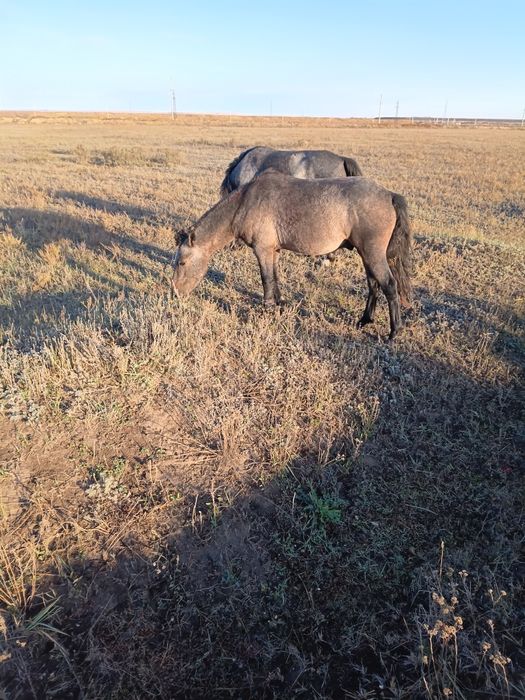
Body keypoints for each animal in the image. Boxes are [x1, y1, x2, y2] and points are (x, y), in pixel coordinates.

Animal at [172, 172, 413, 340]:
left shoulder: (262, 250)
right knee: (373, 285)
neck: (246, 202)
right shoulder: (273, 251)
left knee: (389, 285)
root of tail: (389, 195)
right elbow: (275, 278)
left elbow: (266, 280)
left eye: (182, 262)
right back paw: (364, 320)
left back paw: (394, 332)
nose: (175, 294)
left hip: (373, 254)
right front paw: (279, 305)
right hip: (366, 255)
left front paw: (268, 310)